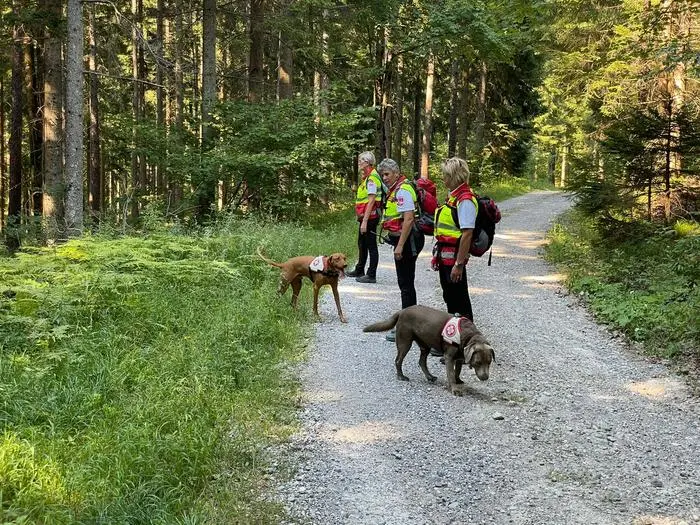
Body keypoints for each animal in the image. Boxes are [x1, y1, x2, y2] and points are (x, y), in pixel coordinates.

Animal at [363, 305, 495, 395]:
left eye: (489, 363)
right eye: (477, 363)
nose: (485, 378)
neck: (467, 334)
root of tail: (402, 311)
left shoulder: (459, 357)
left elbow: (457, 371)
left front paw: (458, 380)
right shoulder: (449, 357)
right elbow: (451, 374)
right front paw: (455, 389)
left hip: (424, 345)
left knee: (421, 362)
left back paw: (430, 376)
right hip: (405, 342)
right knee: (398, 360)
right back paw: (401, 376)